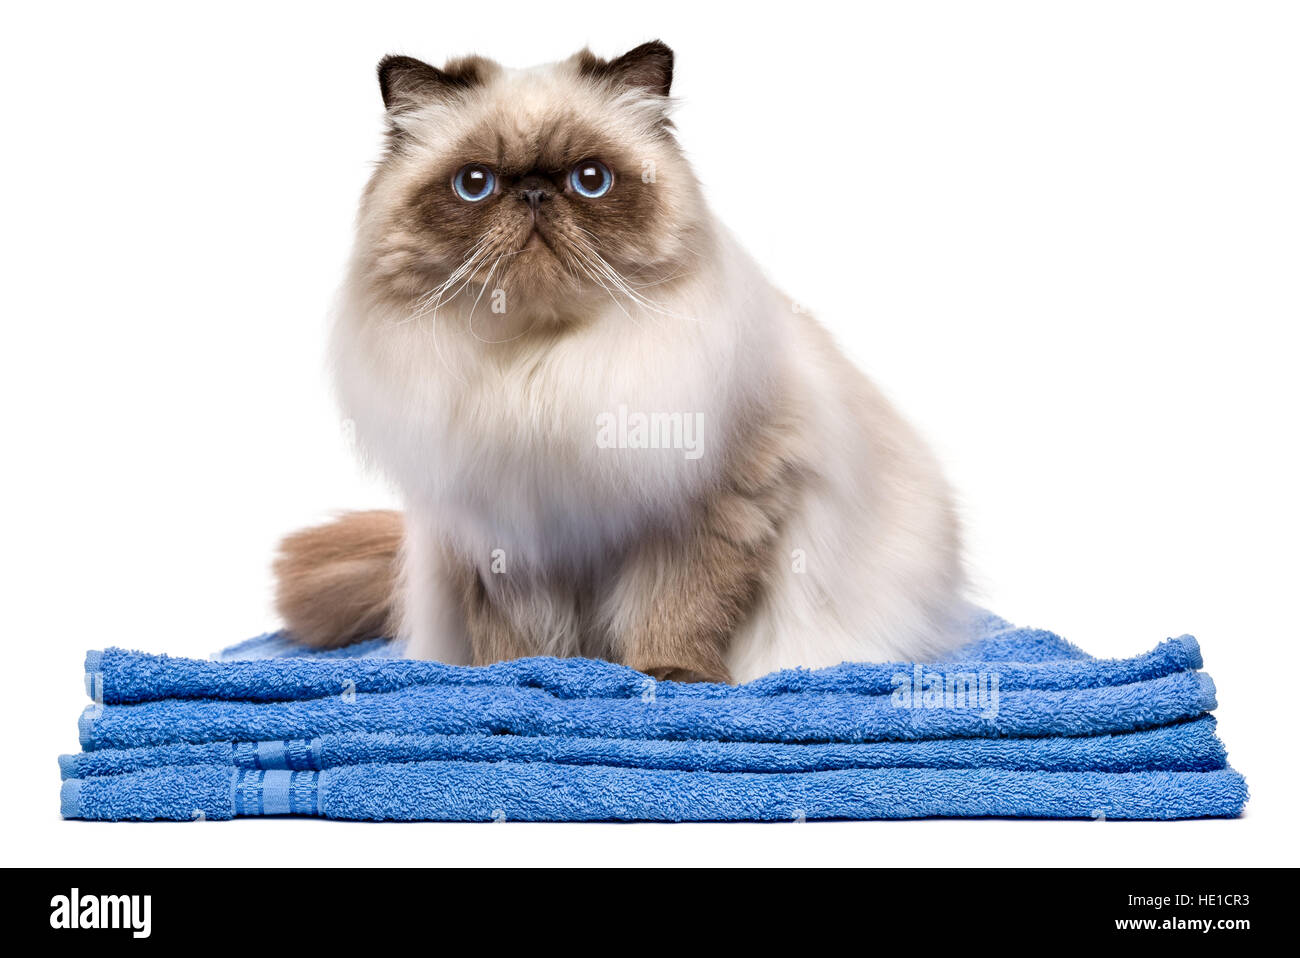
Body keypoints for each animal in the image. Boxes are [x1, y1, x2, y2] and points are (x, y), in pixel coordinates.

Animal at [274, 39, 967, 681]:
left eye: (590, 180)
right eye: (475, 185)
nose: (533, 193)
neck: (540, 370)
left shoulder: (713, 503)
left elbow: (678, 606)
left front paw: (670, 677)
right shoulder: (501, 527)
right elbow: (515, 636)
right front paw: (514, 676)